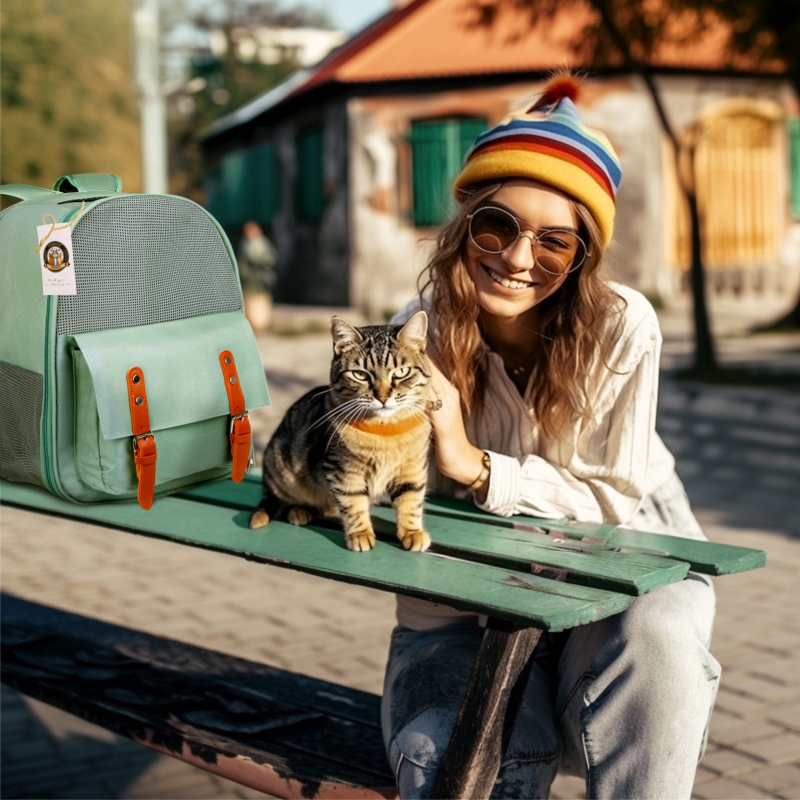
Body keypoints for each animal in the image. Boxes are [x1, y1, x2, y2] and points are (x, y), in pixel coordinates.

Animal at [252, 310, 434, 552]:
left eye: (401, 372)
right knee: (284, 499)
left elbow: (411, 501)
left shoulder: (412, 469)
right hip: (282, 471)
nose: (382, 396)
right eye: (360, 374)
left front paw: (412, 532)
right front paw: (361, 534)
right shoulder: (343, 471)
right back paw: (299, 511)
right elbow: (354, 504)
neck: (385, 431)